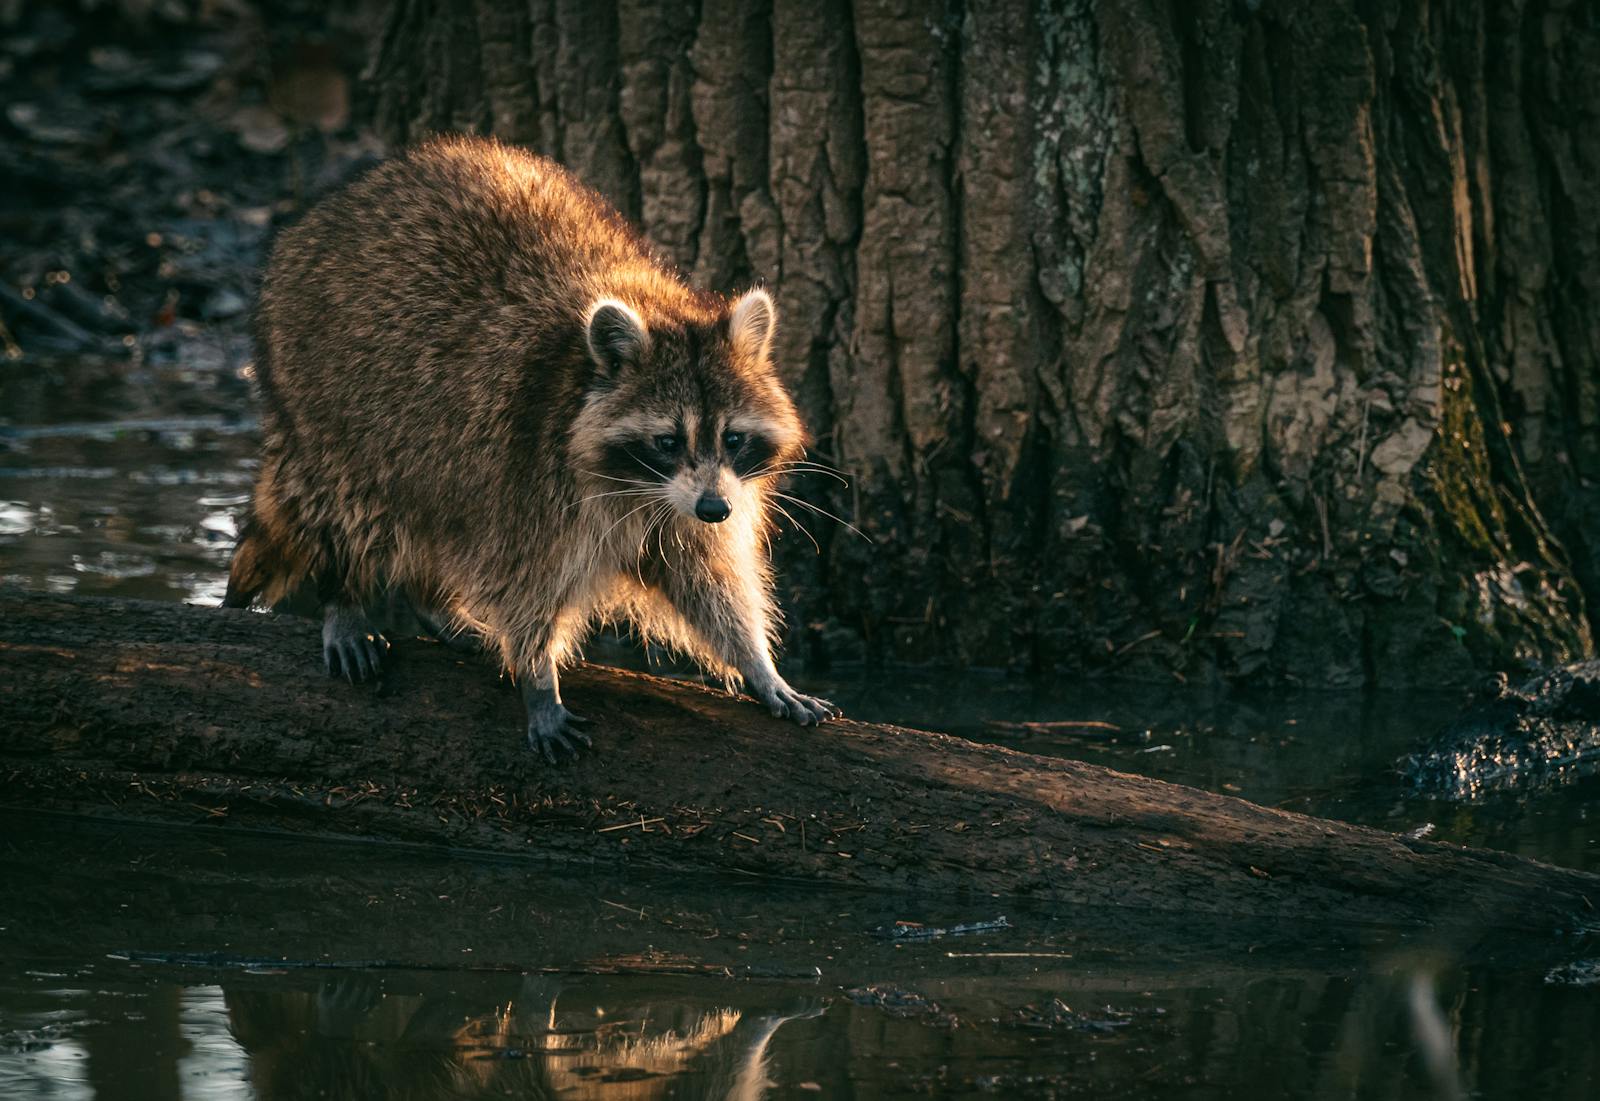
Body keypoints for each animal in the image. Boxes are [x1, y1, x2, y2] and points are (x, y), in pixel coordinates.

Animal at [223, 135, 838, 761]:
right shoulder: (528, 468)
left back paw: (430, 600)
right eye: (668, 440)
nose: (717, 510)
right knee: (349, 503)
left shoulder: (692, 499)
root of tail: (336, 205)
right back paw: (344, 594)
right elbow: (523, 579)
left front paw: (758, 663)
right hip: (324, 392)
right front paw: (538, 675)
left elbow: (708, 578)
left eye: (733, 437)